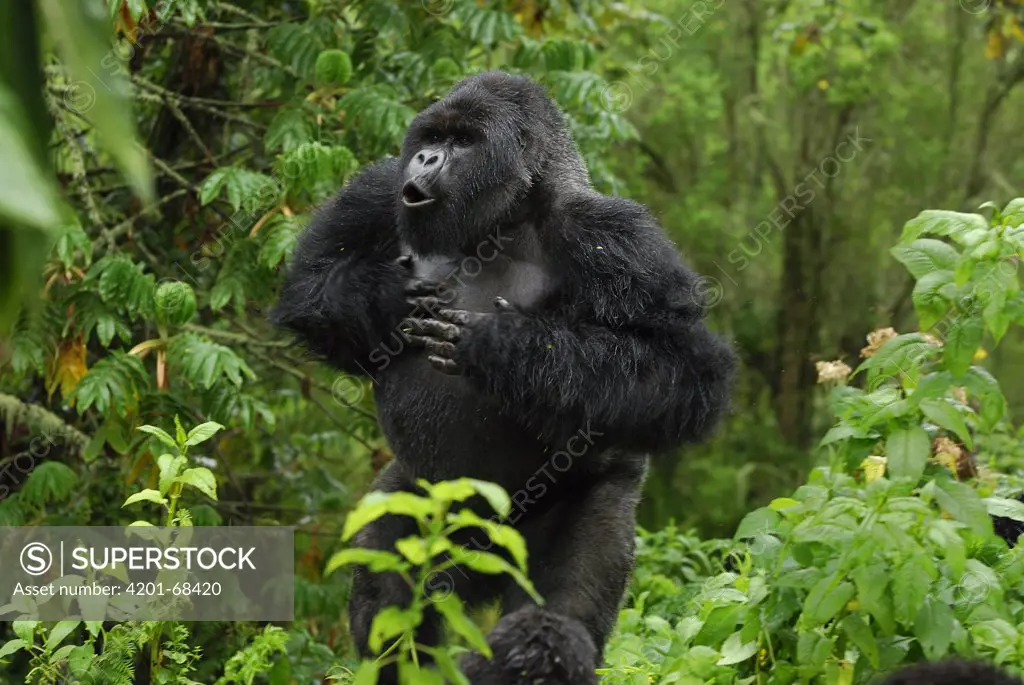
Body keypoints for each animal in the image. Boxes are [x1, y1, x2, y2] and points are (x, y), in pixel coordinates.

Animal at [272, 72, 737, 679]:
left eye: (464, 142)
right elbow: (309, 286)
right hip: (426, 502)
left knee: (556, 616)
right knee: (388, 595)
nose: (425, 158)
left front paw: (503, 345)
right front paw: (390, 298)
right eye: (434, 137)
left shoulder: (614, 234)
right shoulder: (376, 188)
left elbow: (686, 368)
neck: (503, 219)